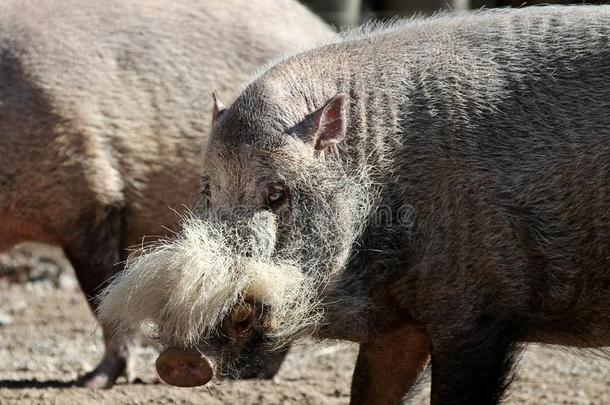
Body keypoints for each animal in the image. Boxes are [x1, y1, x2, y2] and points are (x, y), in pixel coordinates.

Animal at [100, 5, 608, 404]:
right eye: (208, 191)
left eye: (277, 193)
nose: (177, 359)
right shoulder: (398, 330)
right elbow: (368, 391)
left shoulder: (478, 318)